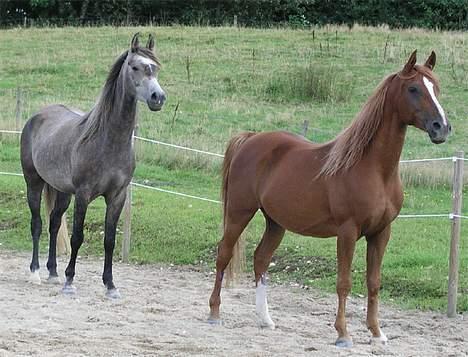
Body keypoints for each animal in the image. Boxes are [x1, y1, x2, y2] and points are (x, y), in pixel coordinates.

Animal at [20, 33, 166, 296]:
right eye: (134, 67)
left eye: (156, 68)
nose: (157, 98)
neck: (108, 140)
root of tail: (37, 116)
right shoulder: (83, 194)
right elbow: (77, 237)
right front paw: (69, 281)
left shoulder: (117, 196)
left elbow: (109, 240)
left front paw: (110, 285)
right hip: (33, 183)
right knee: (36, 224)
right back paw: (35, 273)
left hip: (62, 191)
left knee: (54, 224)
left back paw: (52, 272)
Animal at [208, 51, 450, 346]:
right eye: (413, 89)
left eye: (436, 88)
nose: (441, 128)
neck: (373, 169)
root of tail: (251, 138)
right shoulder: (347, 232)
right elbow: (344, 283)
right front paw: (343, 333)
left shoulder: (381, 232)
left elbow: (374, 282)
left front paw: (377, 333)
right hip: (239, 212)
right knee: (224, 254)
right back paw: (214, 313)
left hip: (275, 222)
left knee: (261, 259)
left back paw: (265, 320)